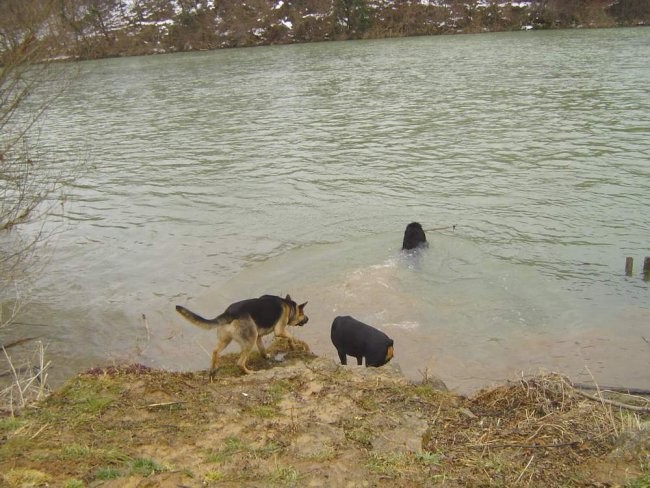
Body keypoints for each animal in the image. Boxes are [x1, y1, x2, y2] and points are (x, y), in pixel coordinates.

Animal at [176, 294, 308, 378]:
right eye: (303, 314)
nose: (308, 319)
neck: (288, 305)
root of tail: (229, 313)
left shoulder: (259, 337)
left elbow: (262, 349)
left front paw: (266, 356)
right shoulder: (279, 330)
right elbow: (290, 336)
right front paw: (292, 346)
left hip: (227, 340)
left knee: (215, 352)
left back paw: (213, 370)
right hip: (249, 341)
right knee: (240, 363)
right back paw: (249, 373)